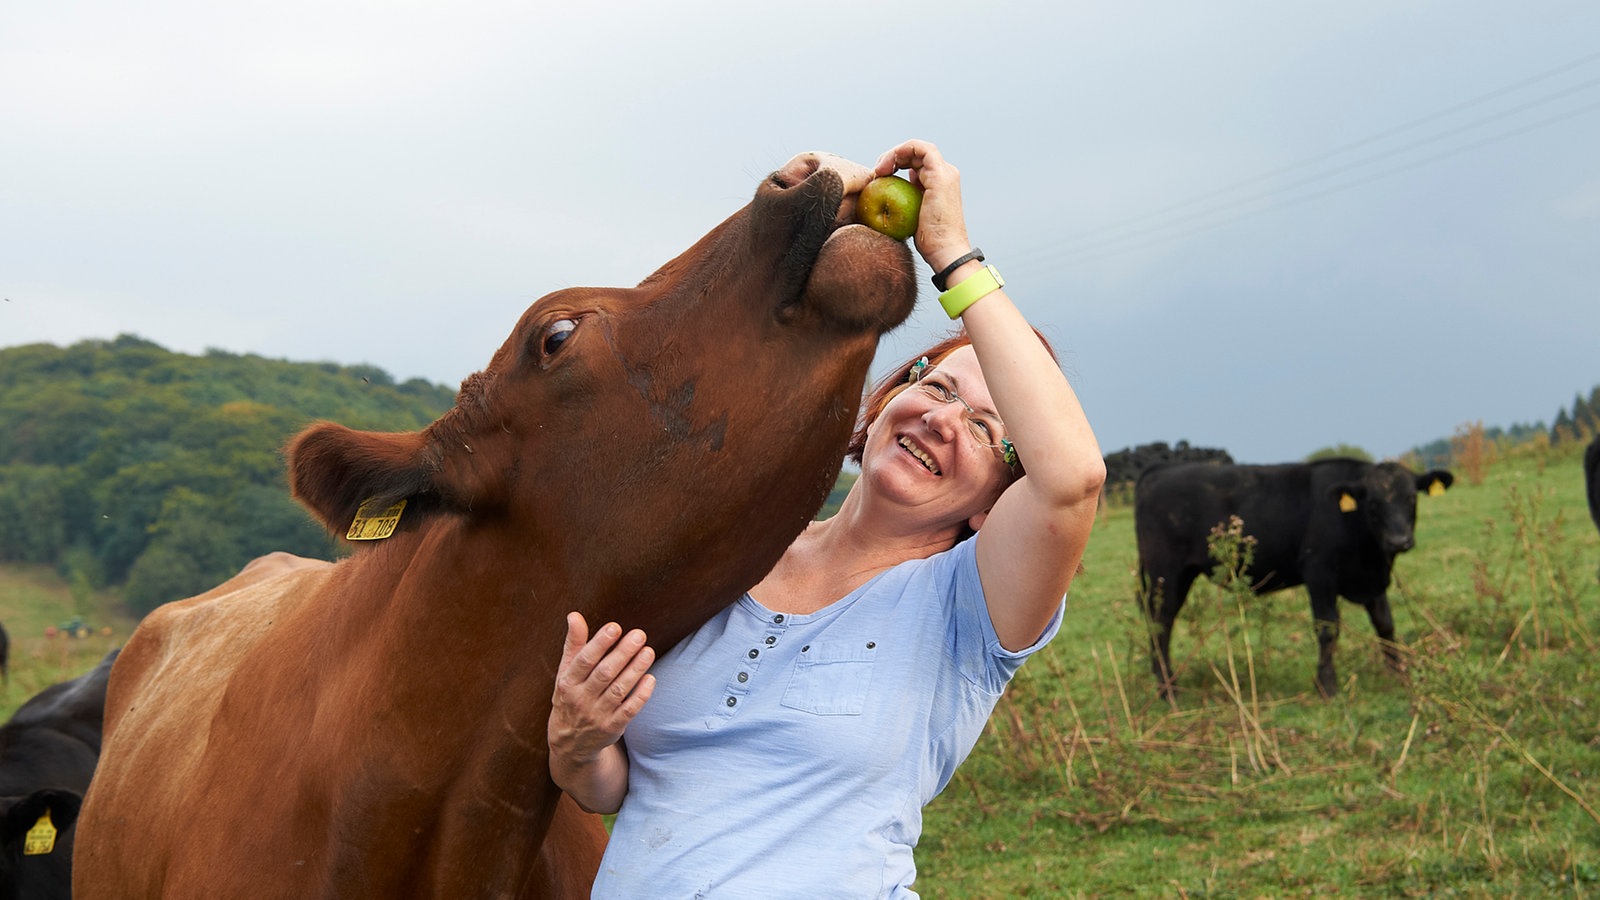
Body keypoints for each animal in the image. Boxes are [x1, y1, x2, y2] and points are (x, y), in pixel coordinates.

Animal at [1132, 458, 1459, 698]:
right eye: (1374, 504)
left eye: (1411, 498)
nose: (1399, 541)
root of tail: (1159, 470)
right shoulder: (1319, 574)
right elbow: (1328, 629)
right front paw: (1327, 686)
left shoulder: (1374, 580)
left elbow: (1385, 625)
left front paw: (1398, 674)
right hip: (1167, 573)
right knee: (1161, 624)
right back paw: (1168, 690)